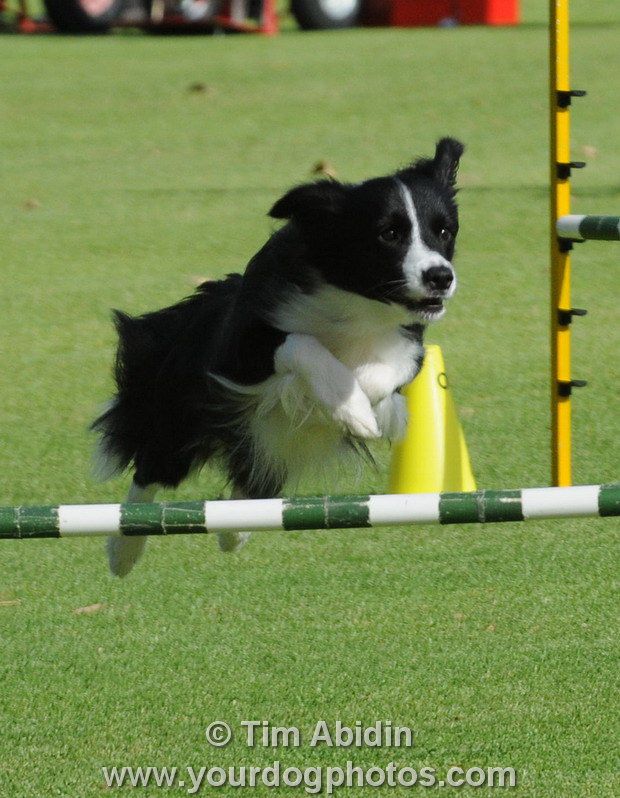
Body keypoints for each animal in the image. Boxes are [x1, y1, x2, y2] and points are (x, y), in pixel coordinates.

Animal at [92, 137, 464, 576]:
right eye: (389, 234)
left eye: (444, 230)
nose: (440, 277)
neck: (354, 300)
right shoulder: (239, 348)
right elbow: (300, 342)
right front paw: (351, 408)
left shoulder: (410, 344)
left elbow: (385, 372)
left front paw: (368, 410)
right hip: (180, 413)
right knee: (153, 471)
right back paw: (124, 550)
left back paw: (234, 529)